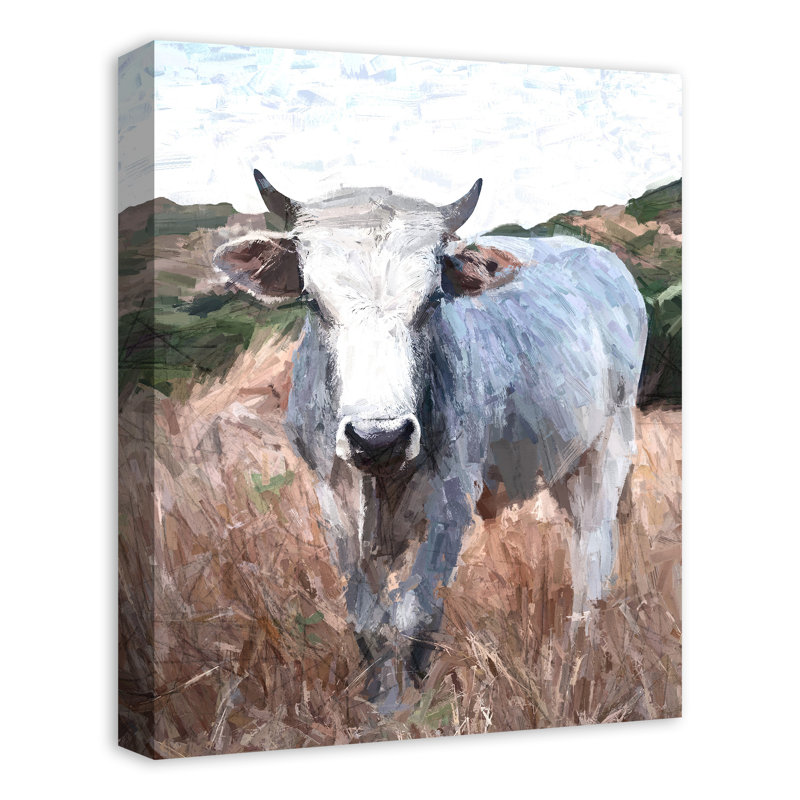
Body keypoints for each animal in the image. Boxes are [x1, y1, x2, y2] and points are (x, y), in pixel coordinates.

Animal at [213, 170, 647, 707]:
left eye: (432, 300)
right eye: (313, 302)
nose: (379, 438)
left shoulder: (452, 498)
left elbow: (416, 614)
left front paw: (411, 707)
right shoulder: (333, 498)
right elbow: (367, 618)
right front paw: (379, 700)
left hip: (609, 447)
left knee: (593, 552)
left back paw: (579, 654)